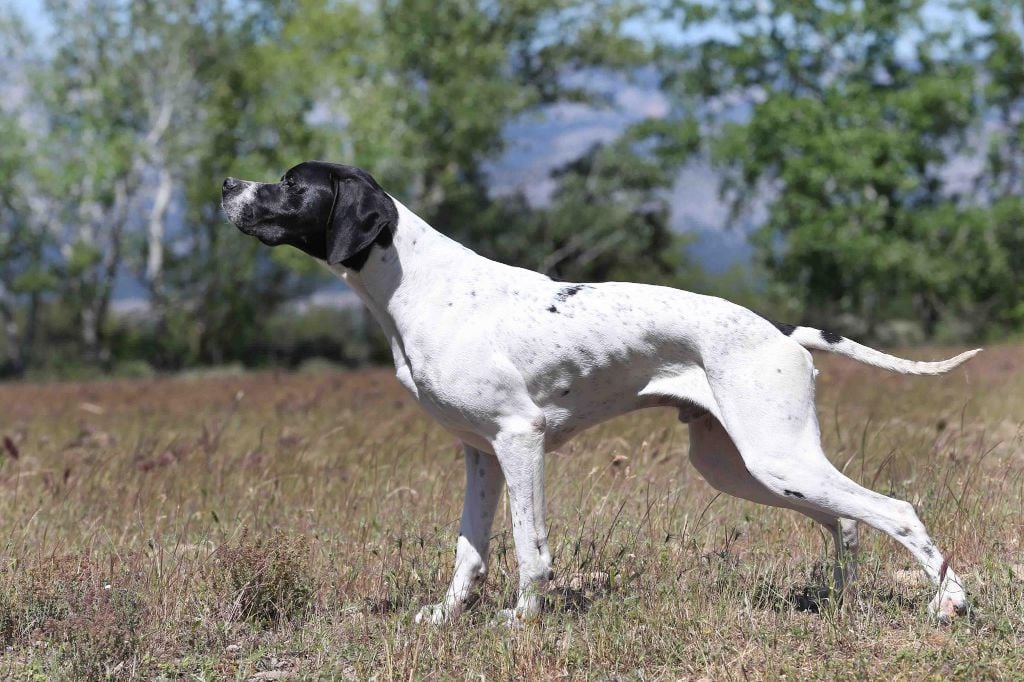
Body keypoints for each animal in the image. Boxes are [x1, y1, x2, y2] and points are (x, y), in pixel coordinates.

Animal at [222, 159, 974, 622]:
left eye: (292, 182)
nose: (227, 182)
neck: (421, 286)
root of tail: (784, 332)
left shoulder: (519, 441)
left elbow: (530, 548)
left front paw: (522, 620)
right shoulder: (479, 455)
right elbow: (470, 551)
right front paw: (447, 617)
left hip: (774, 458)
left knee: (897, 511)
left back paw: (950, 604)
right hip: (743, 466)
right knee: (846, 522)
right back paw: (843, 603)